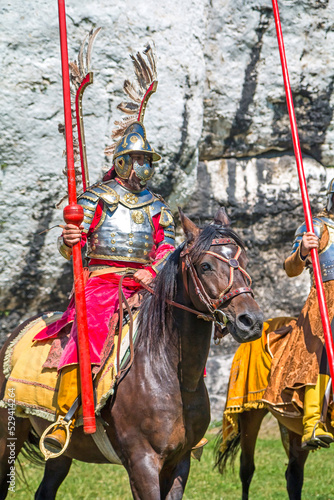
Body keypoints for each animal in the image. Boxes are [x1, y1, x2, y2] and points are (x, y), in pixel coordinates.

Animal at [0, 208, 264, 500]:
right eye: (205, 266)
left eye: (245, 261)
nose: (250, 321)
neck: (168, 372)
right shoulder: (142, 463)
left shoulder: (179, 461)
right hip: (7, 435)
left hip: (62, 452)